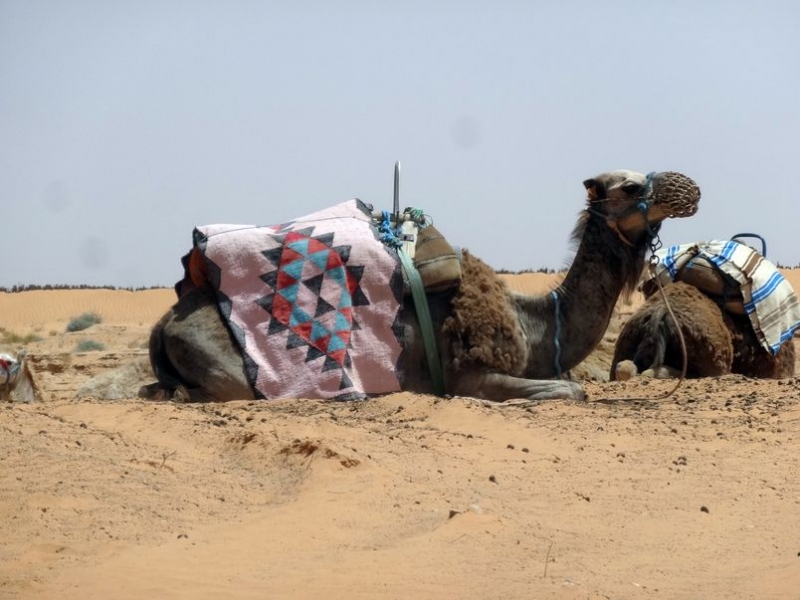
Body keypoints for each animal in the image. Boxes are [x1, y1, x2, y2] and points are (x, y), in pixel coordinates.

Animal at [142, 169, 700, 404]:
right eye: (631, 185)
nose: (689, 187)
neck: (537, 323)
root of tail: (164, 322)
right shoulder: (471, 375)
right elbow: (571, 390)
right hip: (235, 375)